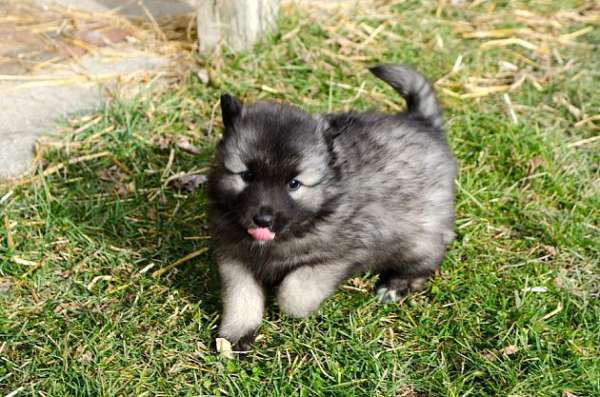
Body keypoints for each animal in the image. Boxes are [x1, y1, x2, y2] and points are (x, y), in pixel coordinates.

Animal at [206, 62, 454, 350]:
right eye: (246, 175)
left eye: (294, 184)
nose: (263, 220)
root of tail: (423, 122)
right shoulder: (234, 257)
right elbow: (241, 297)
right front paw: (236, 335)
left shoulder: (340, 257)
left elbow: (295, 293)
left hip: (419, 236)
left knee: (428, 259)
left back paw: (396, 285)